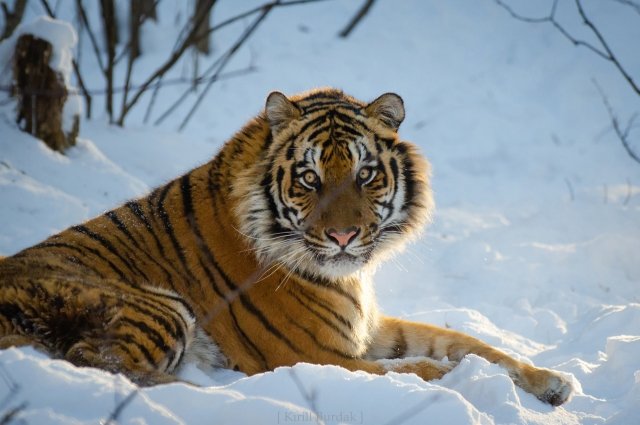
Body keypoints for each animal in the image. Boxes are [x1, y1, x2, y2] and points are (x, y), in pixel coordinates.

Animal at [0, 87, 572, 404]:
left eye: (365, 174)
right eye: (309, 178)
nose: (343, 236)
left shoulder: (369, 328)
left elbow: (472, 344)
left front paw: (551, 382)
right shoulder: (315, 354)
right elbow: (422, 366)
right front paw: (454, 380)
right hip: (158, 305)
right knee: (97, 360)